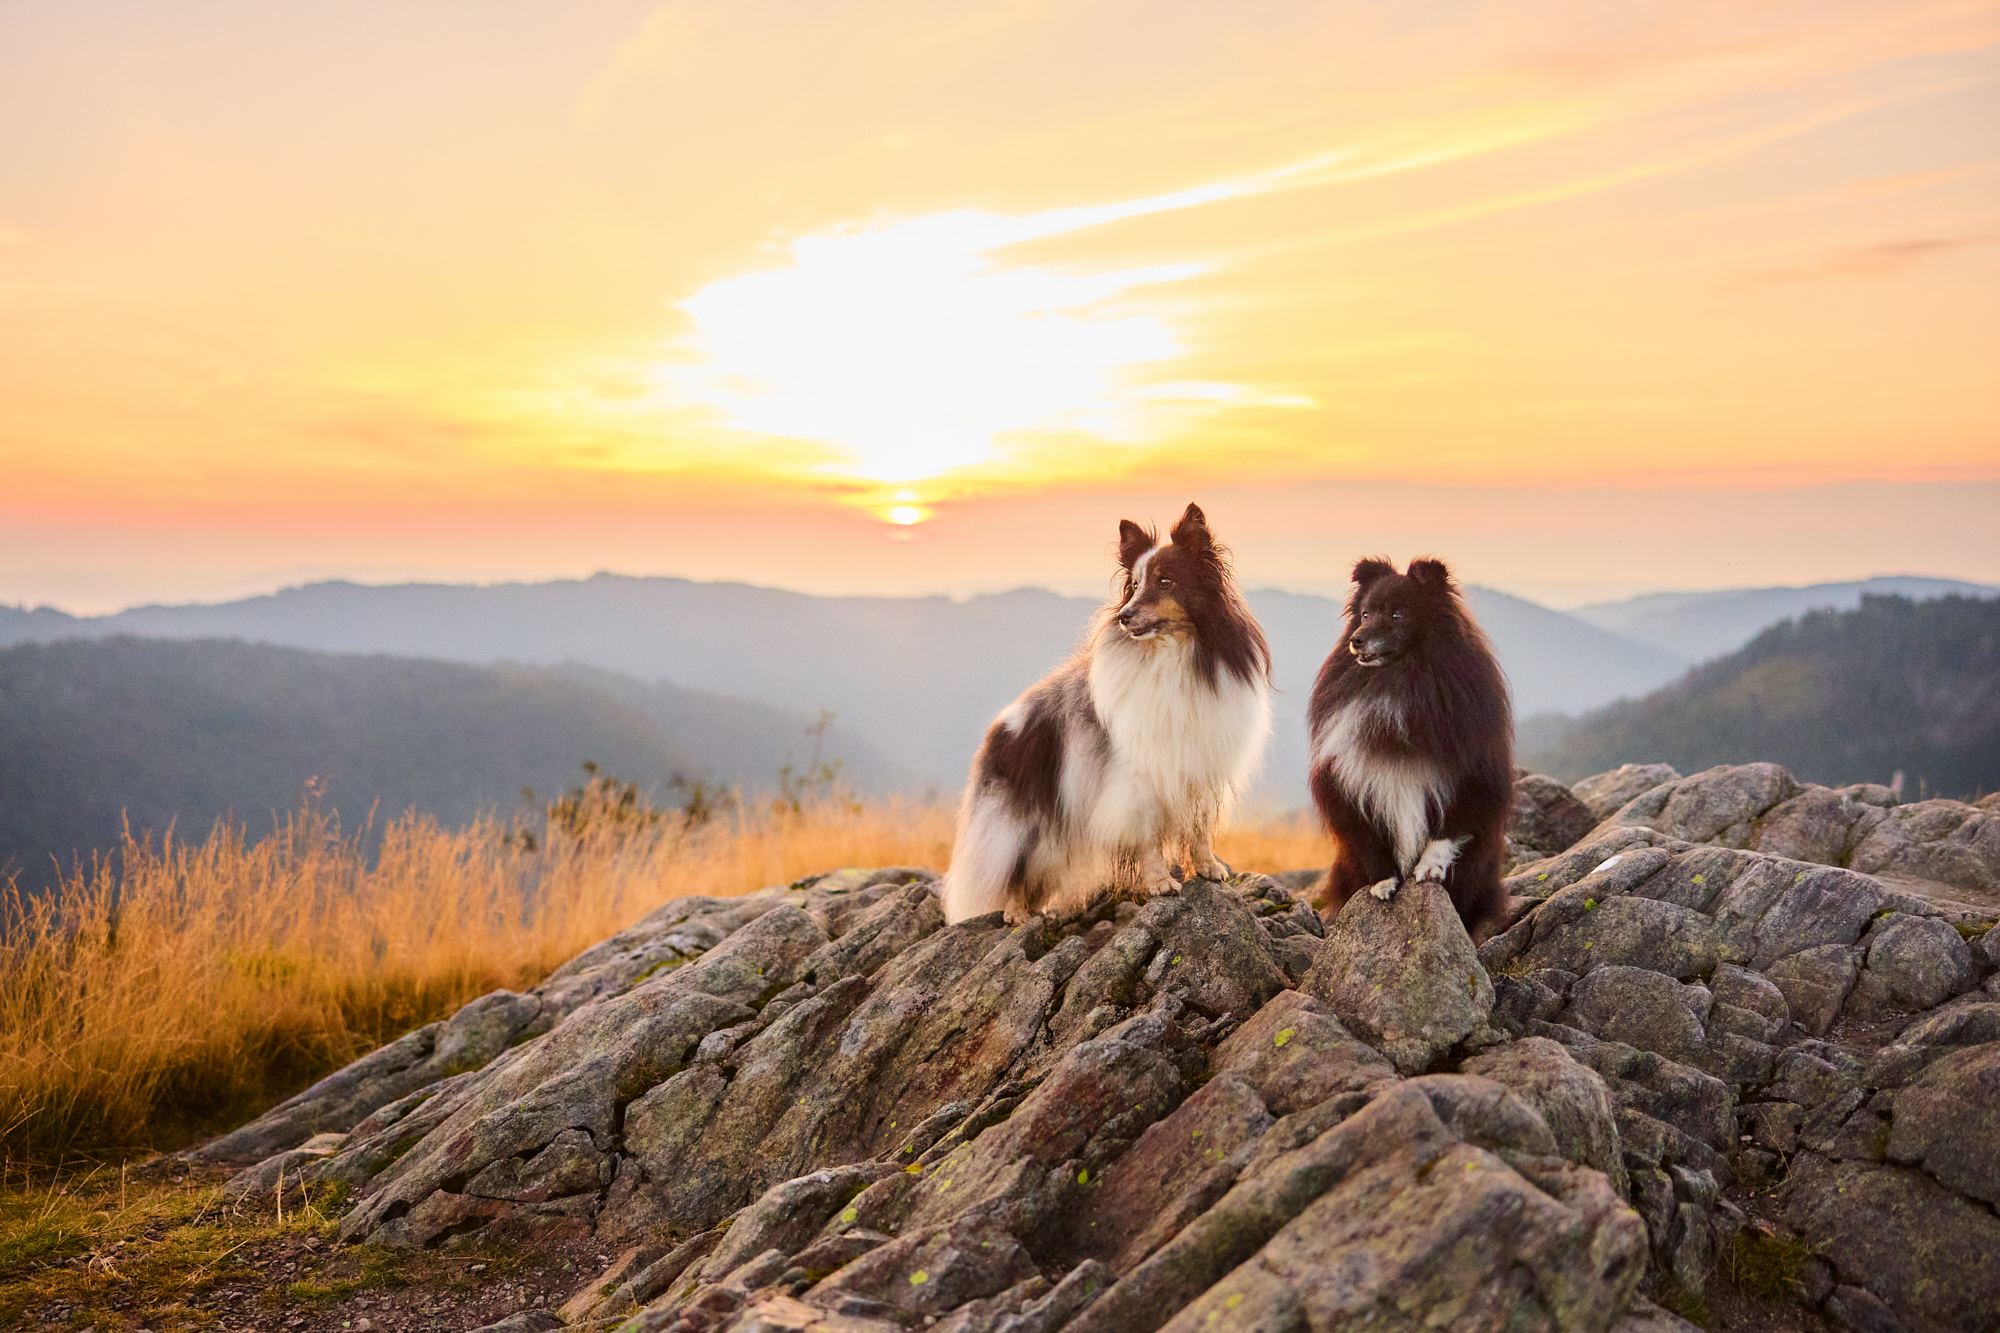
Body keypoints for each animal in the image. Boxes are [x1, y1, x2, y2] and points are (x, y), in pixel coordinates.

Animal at [936, 500, 1264, 924]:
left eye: (1166, 581)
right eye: (1135, 585)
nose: (1124, 617)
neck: (1173, 656)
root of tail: (1000, 728)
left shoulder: (1198, 765)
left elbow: (1199, 827)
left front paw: (1209, 869)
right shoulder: (1137, 779)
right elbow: (1148, 834)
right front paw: (1160, 883)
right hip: (1019, 821)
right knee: (1012, 865)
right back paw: (1017, 913)